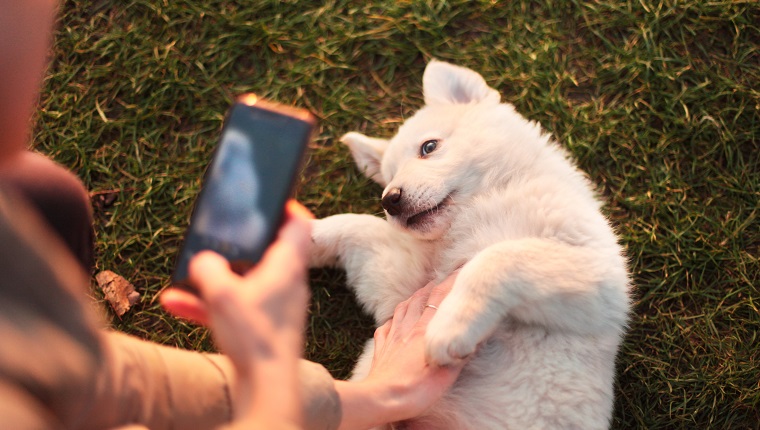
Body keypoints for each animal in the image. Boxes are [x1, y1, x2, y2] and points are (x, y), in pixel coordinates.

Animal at [312, 61, 632, 430]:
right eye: (388, 177)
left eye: (429, 147)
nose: (389, 200)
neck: (475, 212)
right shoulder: (402, 286)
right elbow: (361, 226)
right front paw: (307, 233)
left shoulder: (600, 279)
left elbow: (496, 259)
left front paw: (451, 326)